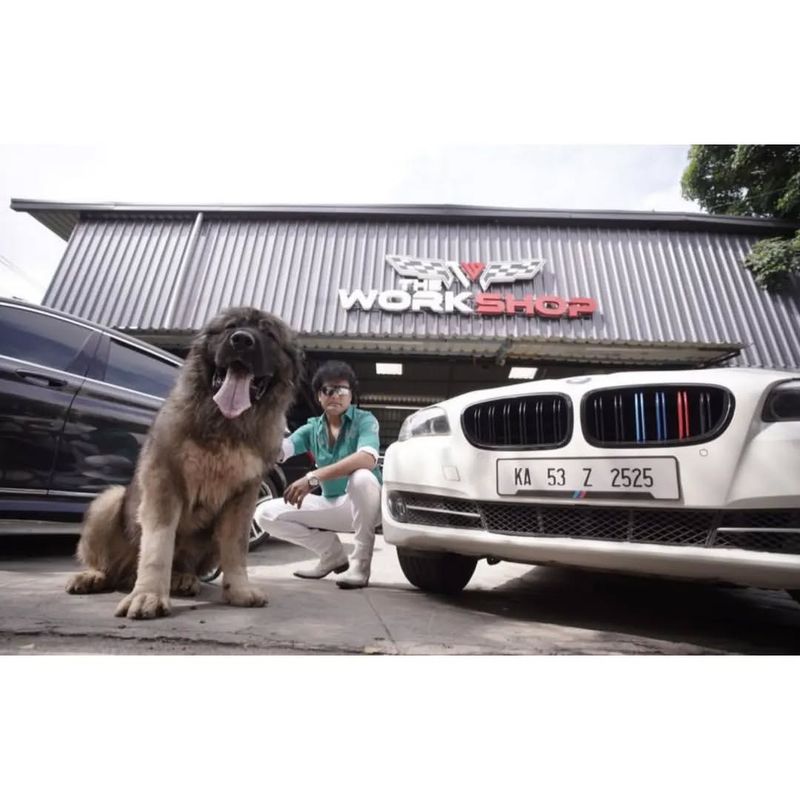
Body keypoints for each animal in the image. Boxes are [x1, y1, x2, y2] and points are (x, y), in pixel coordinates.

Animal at [65, 306, 302, 620]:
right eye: (231, 327)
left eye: (268, 333)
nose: (241, 340)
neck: (226, 425)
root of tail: (125, 574)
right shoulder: (164, 481)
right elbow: (158, 544)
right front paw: (148, 595)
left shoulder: (243, 497)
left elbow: (236, 548)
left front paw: (238, 590)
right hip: (109, 501)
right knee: (107, 564)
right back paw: (94, 576)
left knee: (188, 562)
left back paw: (183, 578)